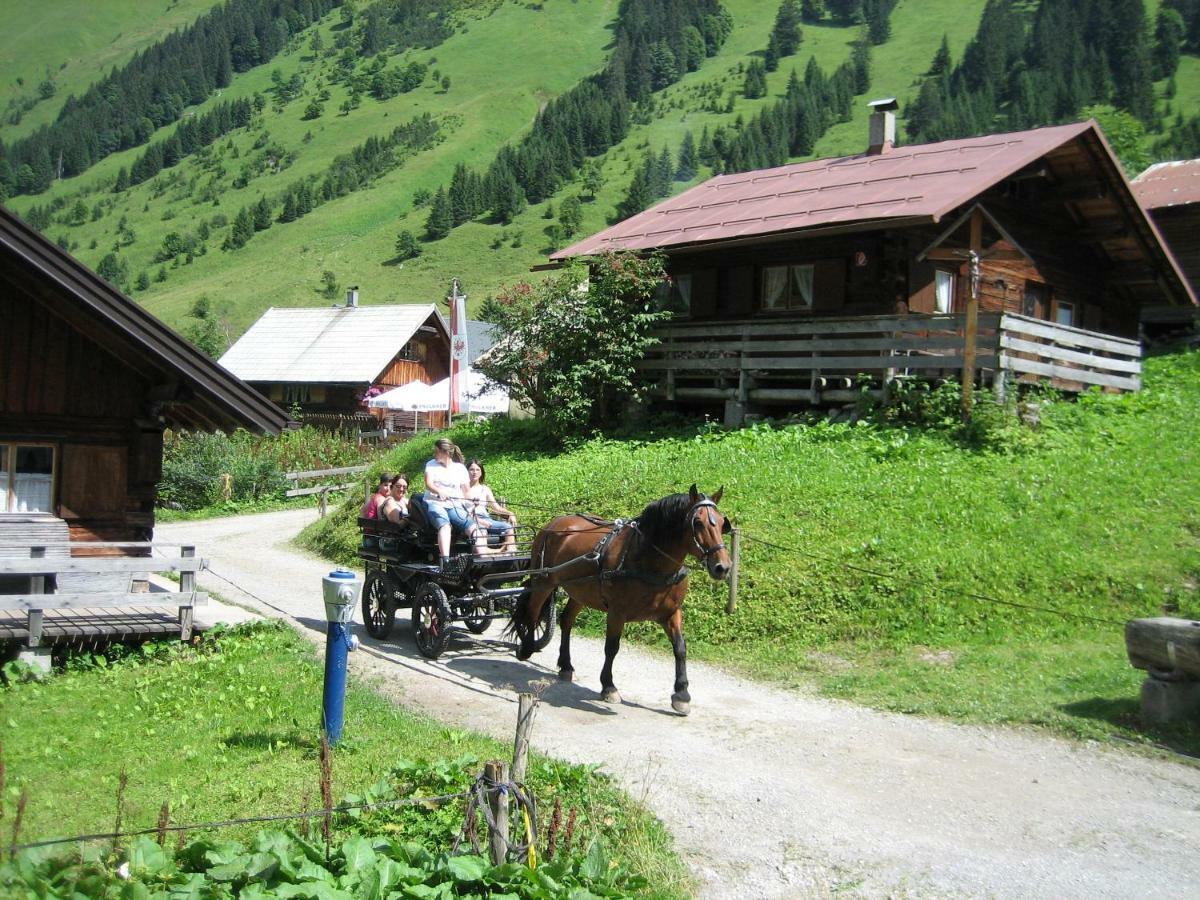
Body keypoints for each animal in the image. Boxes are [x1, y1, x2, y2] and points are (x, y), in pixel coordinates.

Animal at [506, 487, 729, 720]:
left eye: (723, 522)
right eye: (698, 522)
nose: (723, 567)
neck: (648, 559)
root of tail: (554, 522)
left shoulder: (671, 613)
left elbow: (680, 648)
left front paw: (682, 694)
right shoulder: (617, 613)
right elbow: (612, 648)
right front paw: (608, 686)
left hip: (580, 591)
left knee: (566, 621)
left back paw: (566, 665)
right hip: (544, 582)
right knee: (532, 612)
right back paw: (527, 647)